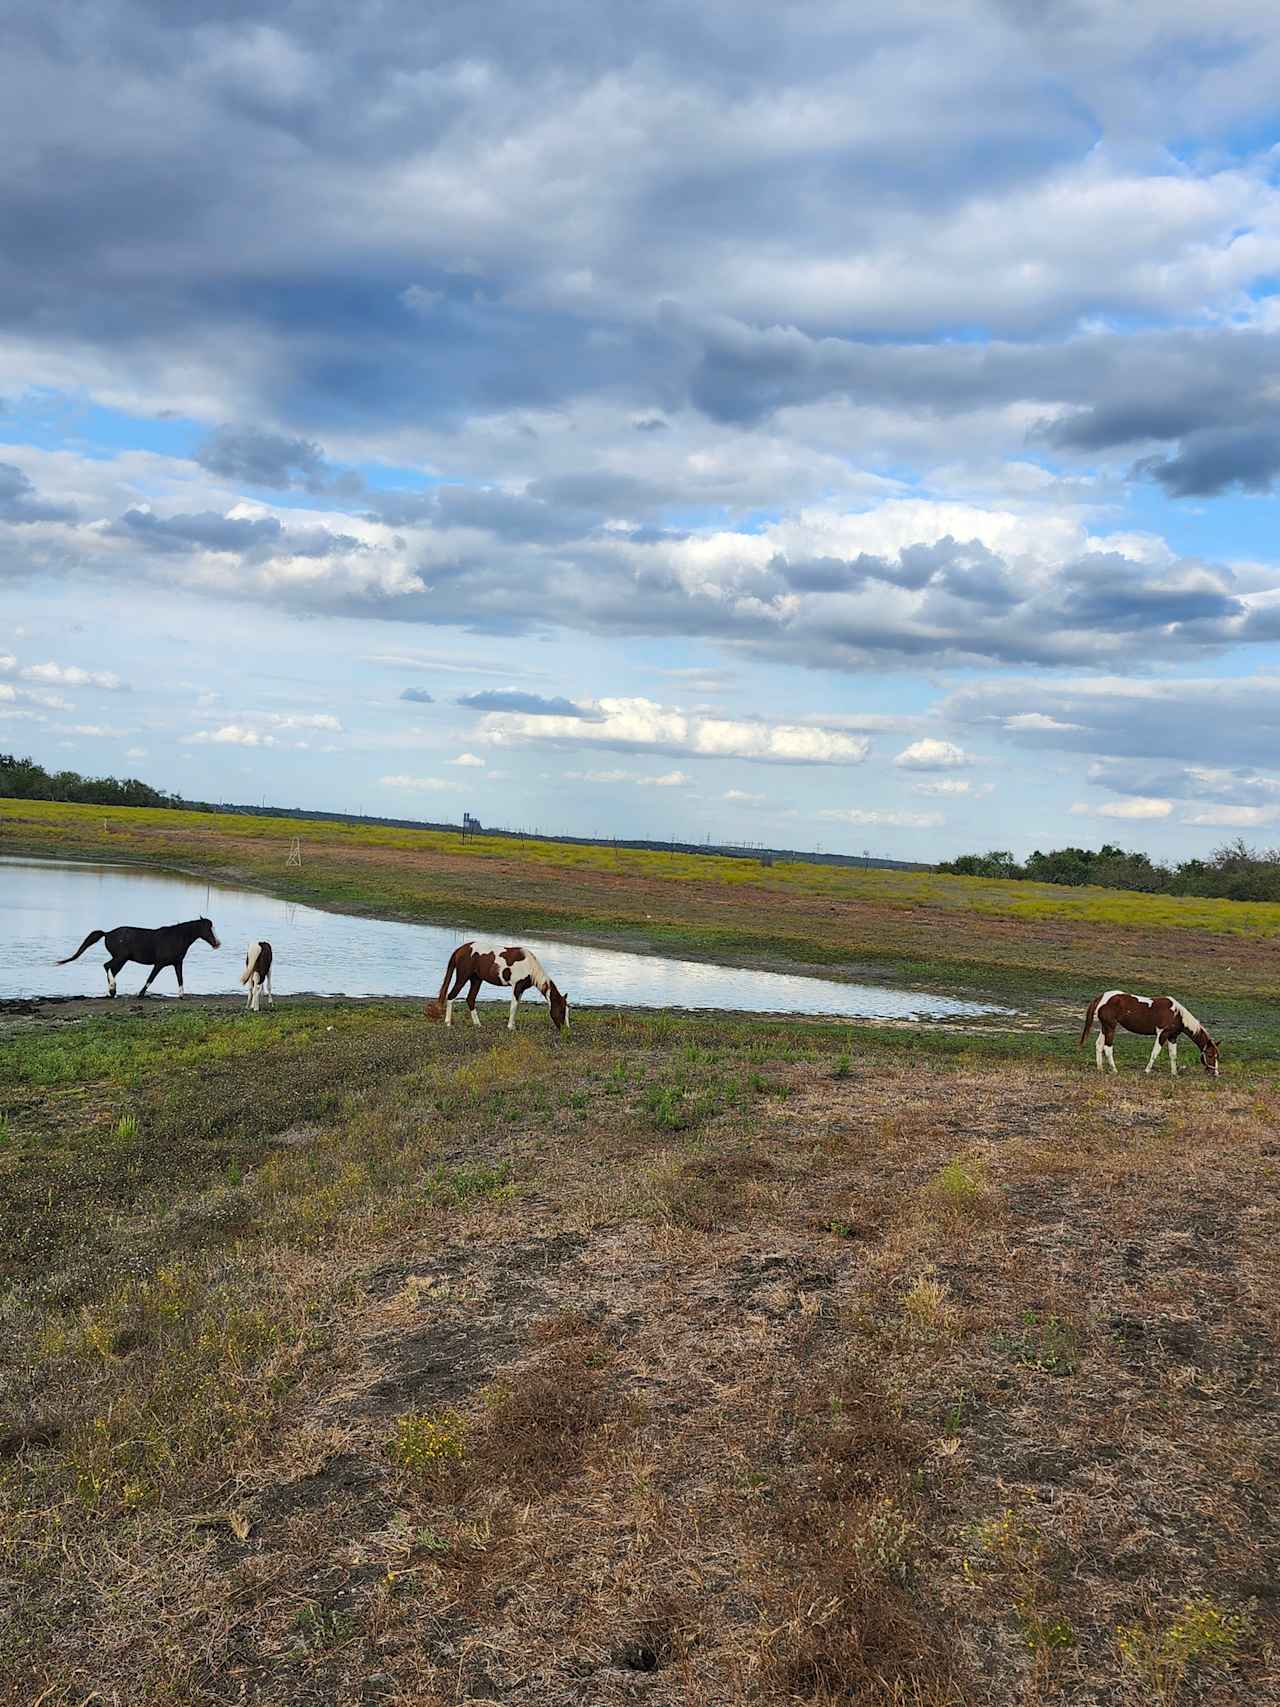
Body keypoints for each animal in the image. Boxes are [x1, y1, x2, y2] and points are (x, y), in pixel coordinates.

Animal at [57, 914, 220, 996]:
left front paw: (181, 995)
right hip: (120, 958)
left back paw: (112, 991)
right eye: (208, 929)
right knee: (107, 966)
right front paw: (140, 994)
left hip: (122, 960)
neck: (175, 937)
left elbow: (180, 978)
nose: (217, 943)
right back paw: (112, 989)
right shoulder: (159, 964)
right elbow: (151, 978)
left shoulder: (177, 963)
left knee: (110, 969)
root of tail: (107, 933)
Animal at [423, 942, 570, 1031]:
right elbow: (513, 1006)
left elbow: (516, 1006)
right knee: (451, 996)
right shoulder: (516, 987)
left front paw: (513, 1025)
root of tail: (461, 949)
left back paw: (478, 1024)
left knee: (470, 999)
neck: (529, 966)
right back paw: (448, 1022)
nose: (566, 1030)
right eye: (561, 1010)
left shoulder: (520, 989)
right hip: (463, 978)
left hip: (476, 980)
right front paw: (510, 1027)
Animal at [1085, 990, 1221, 1078]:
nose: (1215, 1073)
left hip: (1105, 1027)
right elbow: (1155, 1052)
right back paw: (1114, 1070)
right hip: (1110, 1027)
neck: (1177, 1014)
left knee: (1099, 1045)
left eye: (1216, 1055)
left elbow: (1173, 1055)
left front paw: (1174, 1073)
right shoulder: (1162, 1034)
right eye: (1209, 1055)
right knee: (1108, 1048)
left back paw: (1100, 1068)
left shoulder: (1172, 1037)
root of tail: (1101, 997)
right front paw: (1147, 1071)